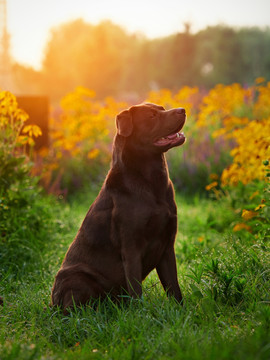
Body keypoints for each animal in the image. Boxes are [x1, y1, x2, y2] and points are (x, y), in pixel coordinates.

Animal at [51, 102, 186, 310]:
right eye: (152, 116)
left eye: (162, 109)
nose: (183, 110)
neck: (151, 182)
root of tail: (52, 303)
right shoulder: (131, 248)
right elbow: (136, 290)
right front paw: (140, 314)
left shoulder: (167, 246)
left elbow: (174, 287)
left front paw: (181, 311)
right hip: (76, 278)